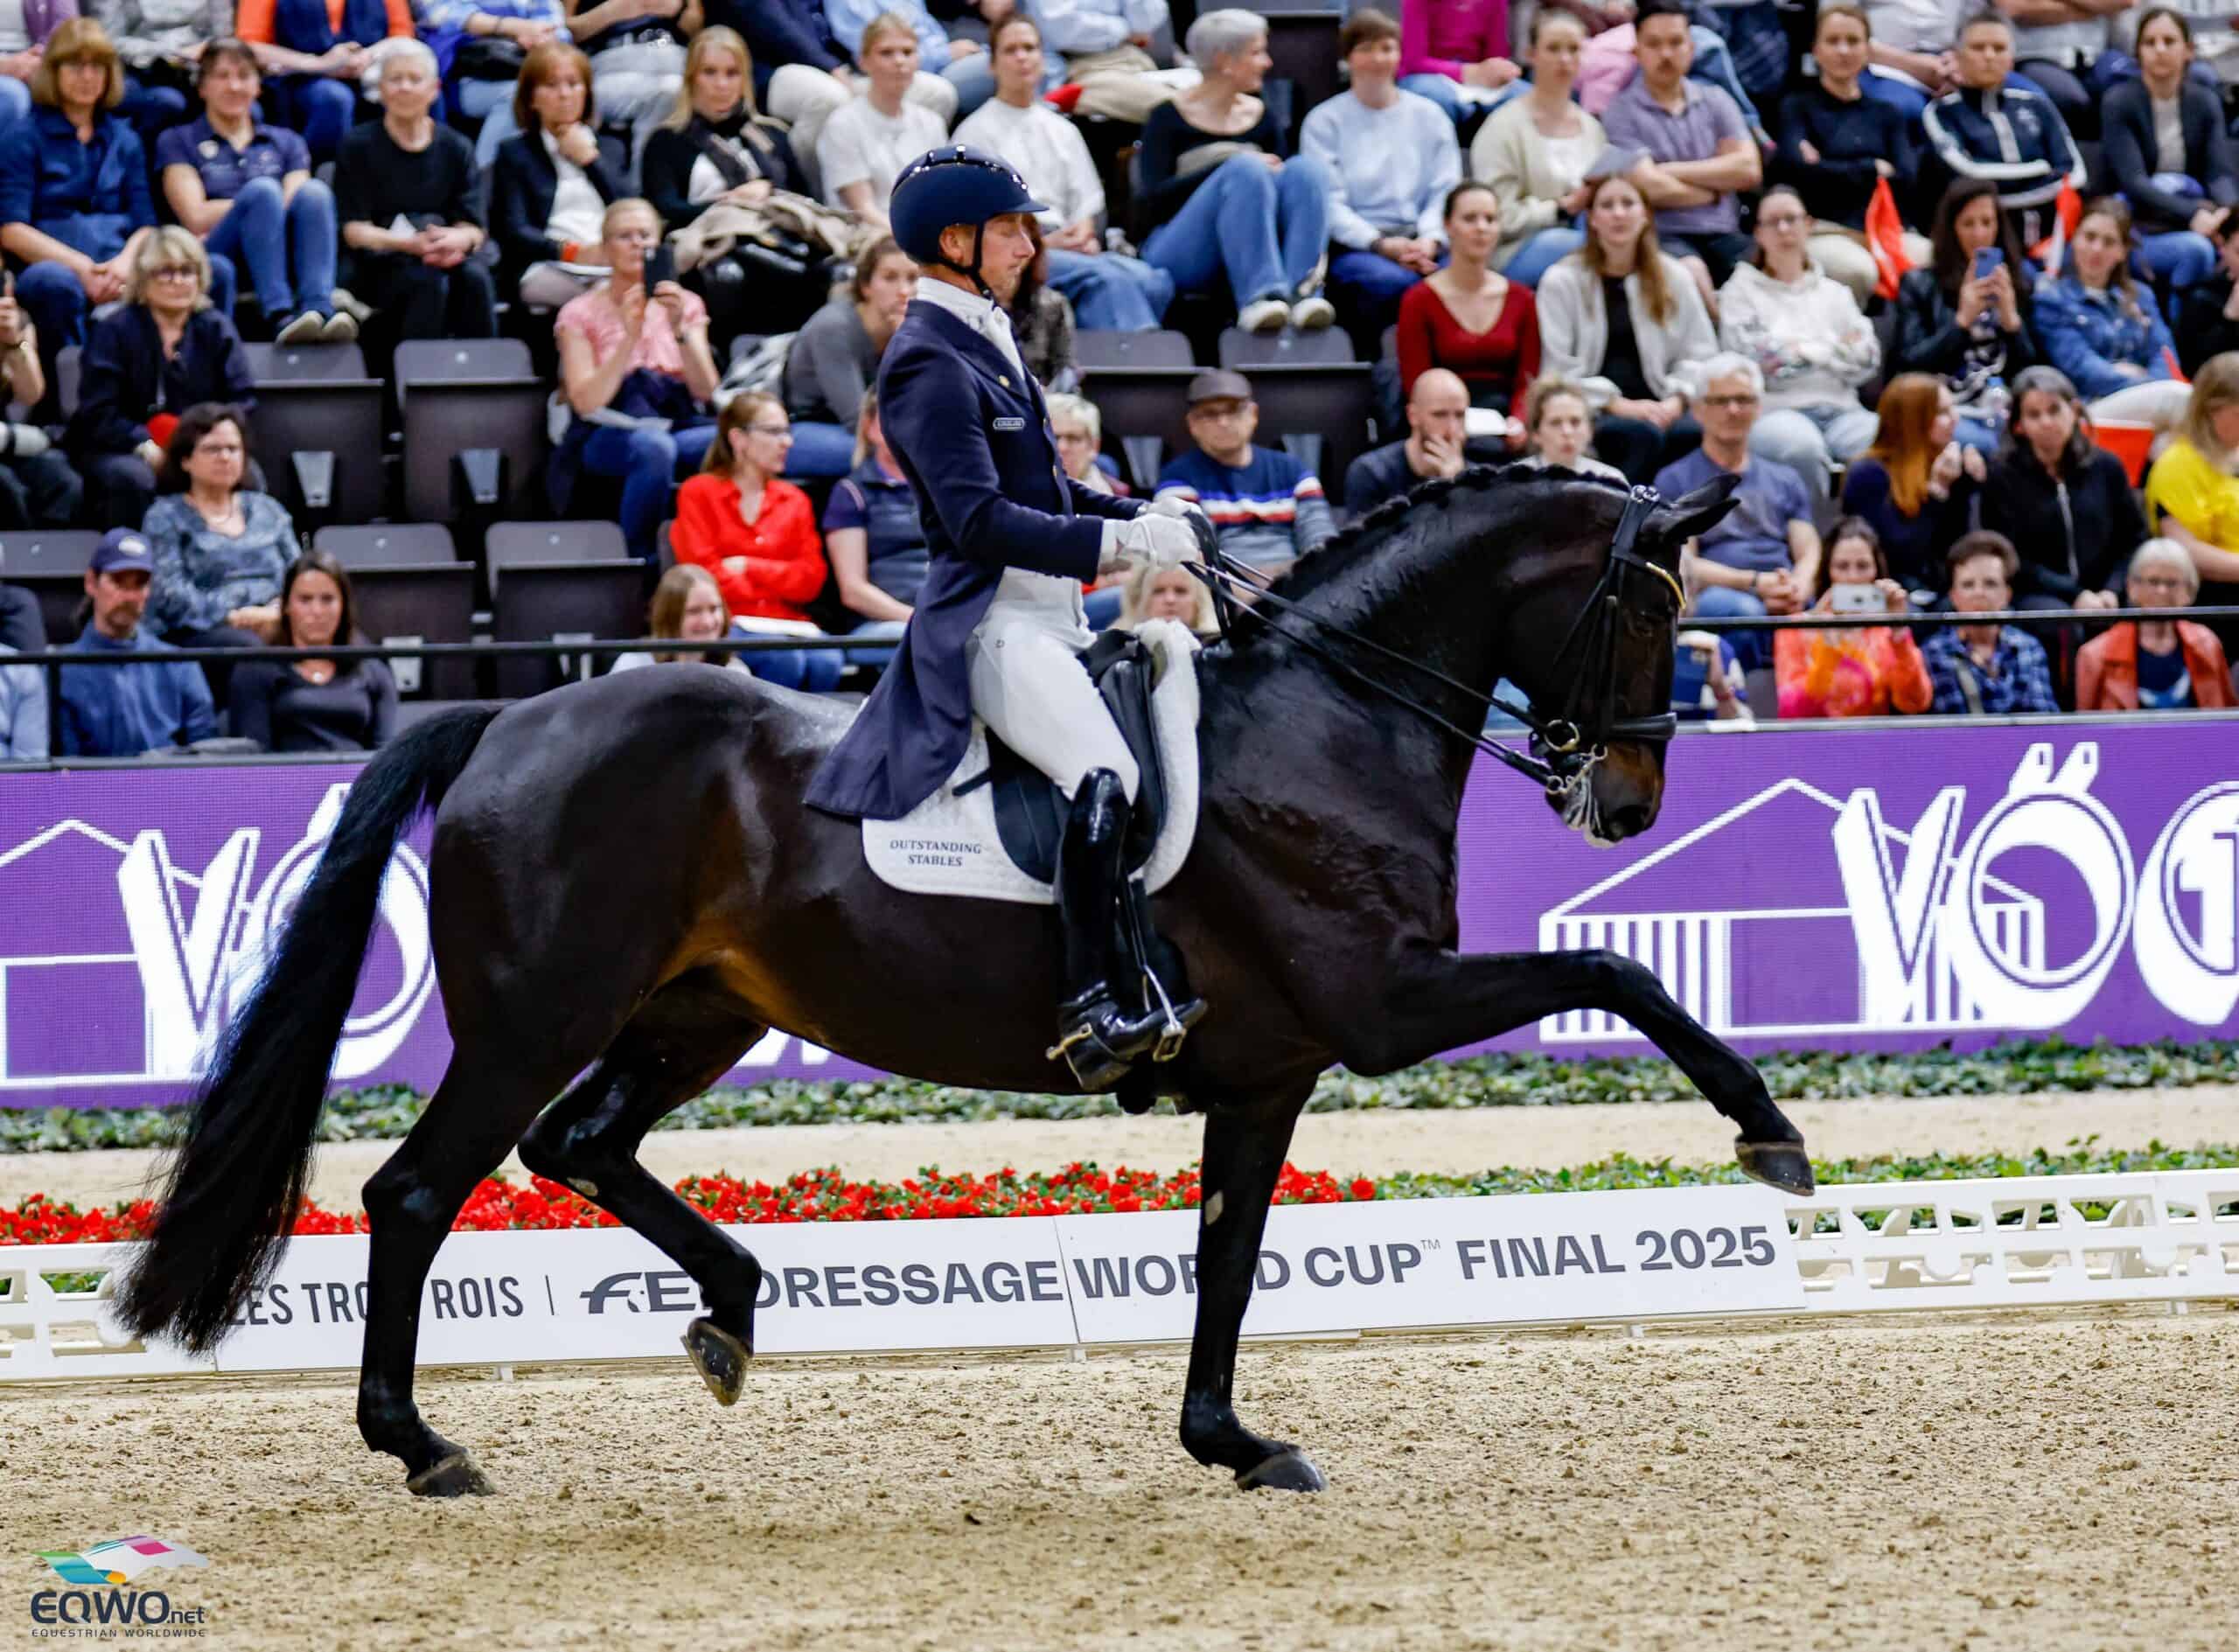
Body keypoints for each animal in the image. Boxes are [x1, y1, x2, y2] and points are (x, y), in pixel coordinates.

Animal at [116, 465, 1813, 1499]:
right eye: (1654, 606)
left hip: (696, 1014)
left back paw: (731, 1310)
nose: (1625, 804)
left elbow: (1227, 1254)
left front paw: (1231, 1440)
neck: (1328, 719)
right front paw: (1768, 1133)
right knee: (417, 1190)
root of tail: (505, 722)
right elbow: (1617, 966)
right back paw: (422, 1443)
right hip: (539, 1017)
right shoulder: (1388, 1002)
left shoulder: (1272, 1067)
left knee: (578, 1144)